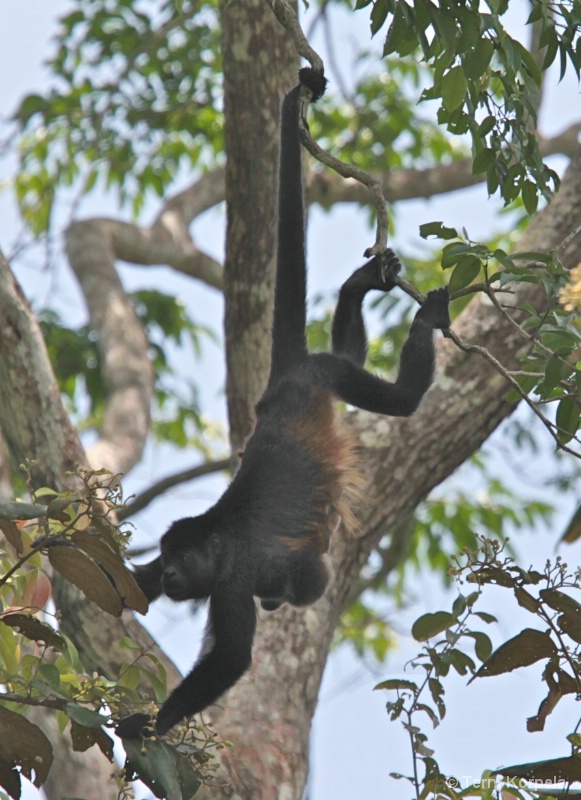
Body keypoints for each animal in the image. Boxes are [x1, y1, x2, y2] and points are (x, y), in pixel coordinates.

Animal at [116, 67, 448, 736]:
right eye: (165, 558)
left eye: (182, 560)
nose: (170, 573)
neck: (218, 538)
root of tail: (284, 381)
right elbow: (132, 589)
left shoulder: (232, 579)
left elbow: (234, 658)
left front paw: (150, 725)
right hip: (326, 374)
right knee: (349, 352)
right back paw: (357, 288)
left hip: (323, 375)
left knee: (399, 403)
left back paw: (425, 322)